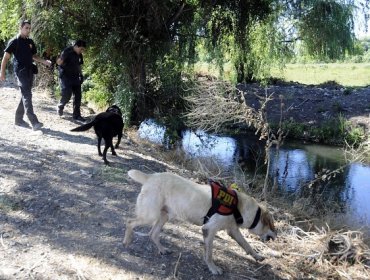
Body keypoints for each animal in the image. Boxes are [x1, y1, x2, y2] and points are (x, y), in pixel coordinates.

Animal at [124, 170, 278, 274]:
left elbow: (246, 245)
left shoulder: (233, 230)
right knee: (130, 222)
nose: (276, 236)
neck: (238, 207)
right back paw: (127, 241)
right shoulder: (208, 229)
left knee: (153, 234)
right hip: (150, 215)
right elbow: (209, 254)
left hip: (164, 216)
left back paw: (162, 249)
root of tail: (150, 177)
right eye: (272, 225)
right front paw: (213, 268)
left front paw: (257, 256)